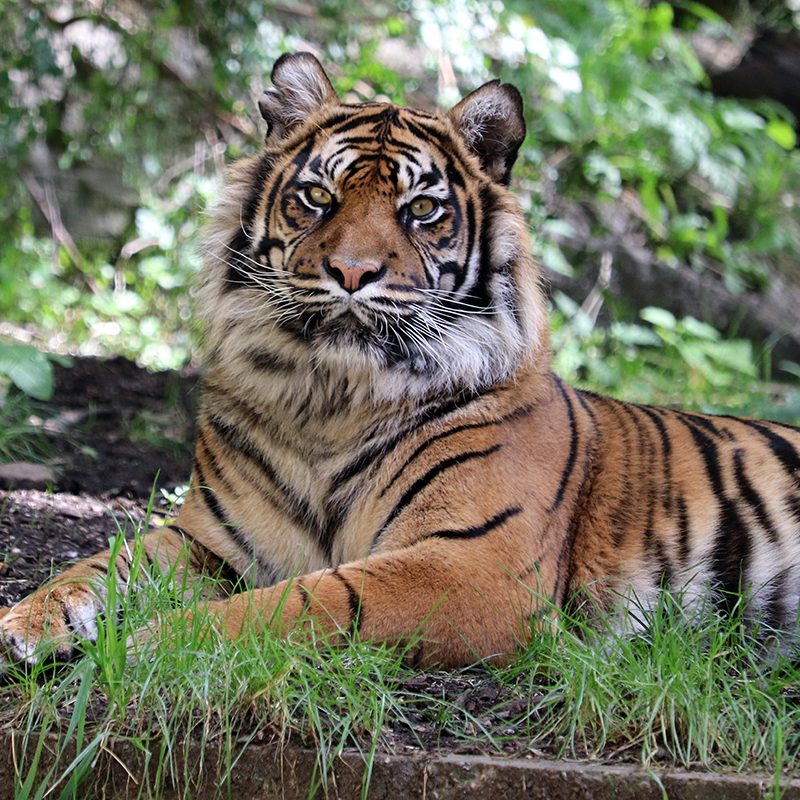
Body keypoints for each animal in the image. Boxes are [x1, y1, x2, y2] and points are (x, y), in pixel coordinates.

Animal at [1, 53, 800, 672]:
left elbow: (306, 601)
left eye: (421, 209)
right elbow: (103, 562)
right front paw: (27, 622)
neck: (329, 398)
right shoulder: (212, 539)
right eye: (316, 197)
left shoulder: (473, 567)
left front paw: (159, 643)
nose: (353, 272)